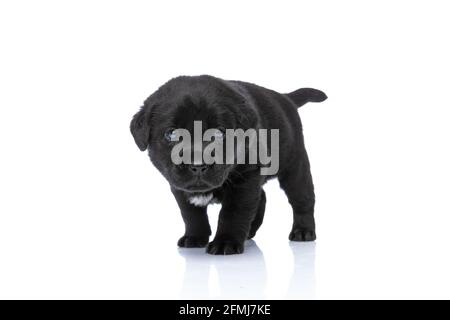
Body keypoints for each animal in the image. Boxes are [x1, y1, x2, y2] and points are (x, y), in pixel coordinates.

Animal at [130, 75, 326, 255]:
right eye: (171, 134)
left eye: (218, 134)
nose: (198, 165)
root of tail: (285, 98)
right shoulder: (179, 187)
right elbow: (191, 214)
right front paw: (194, 237)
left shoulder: (246, 179)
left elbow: (234, 212)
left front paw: (226, 242)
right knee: (262, 197)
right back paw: (250, 231)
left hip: (294, 167)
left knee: (303, 200)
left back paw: (303, 231)